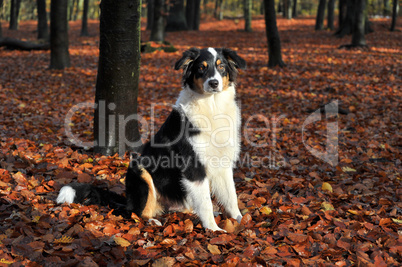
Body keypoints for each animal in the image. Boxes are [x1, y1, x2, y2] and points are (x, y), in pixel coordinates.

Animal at [57, 48, 247, 232]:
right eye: (201, 68)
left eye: (221, 67)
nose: (214, 83)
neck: (212, 105)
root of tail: (126, 200)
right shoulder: (194, 167)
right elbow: (206, 203)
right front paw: (213, 229)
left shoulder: (223, 164)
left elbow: (231, 197)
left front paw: (240, 220)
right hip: (140, 171)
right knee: (135, 213)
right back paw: (152, 221)